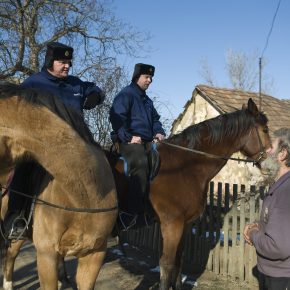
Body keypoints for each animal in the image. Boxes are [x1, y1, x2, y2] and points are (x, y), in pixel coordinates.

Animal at [107, 98, 270, 290]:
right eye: (265, 130)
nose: (270, 163)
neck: (185, 167)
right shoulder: (171, 224)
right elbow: (167, 264)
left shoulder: (183, 224)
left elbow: (179, 261)